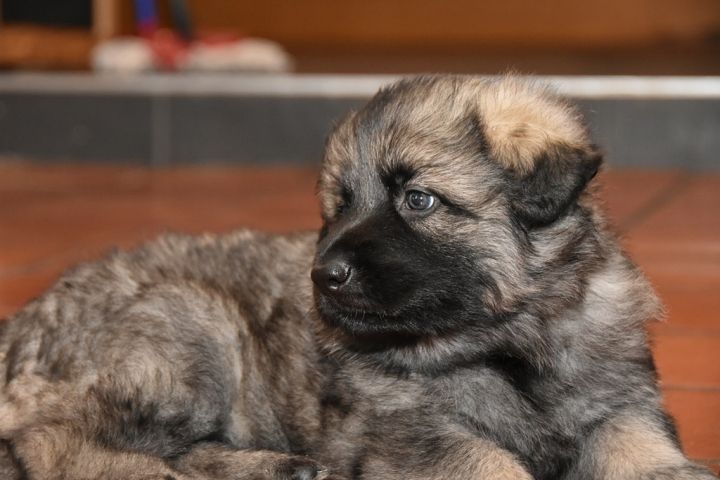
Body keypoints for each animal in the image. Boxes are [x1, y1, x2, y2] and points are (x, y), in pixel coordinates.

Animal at [0, 75, 715, 480]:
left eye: (418, 200)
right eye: (339, 206)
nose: (325, 275)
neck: (505, 338)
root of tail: (20, 325)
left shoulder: (618, 397)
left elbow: (639, 442)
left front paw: (674, 473)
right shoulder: (414, 433)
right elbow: (489, 462)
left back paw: (281, 469)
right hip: (189, 330)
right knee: (57, 447)